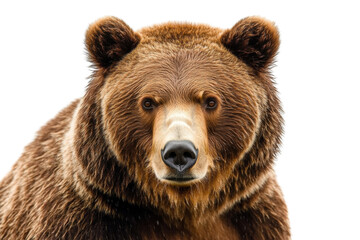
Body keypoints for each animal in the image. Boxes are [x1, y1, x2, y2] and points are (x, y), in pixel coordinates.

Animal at [0, 15, 290, 239]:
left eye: (210, 101)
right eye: (148, 102)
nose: (179, 152)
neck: (182, 208)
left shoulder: (254, 219)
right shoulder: (76, 218)